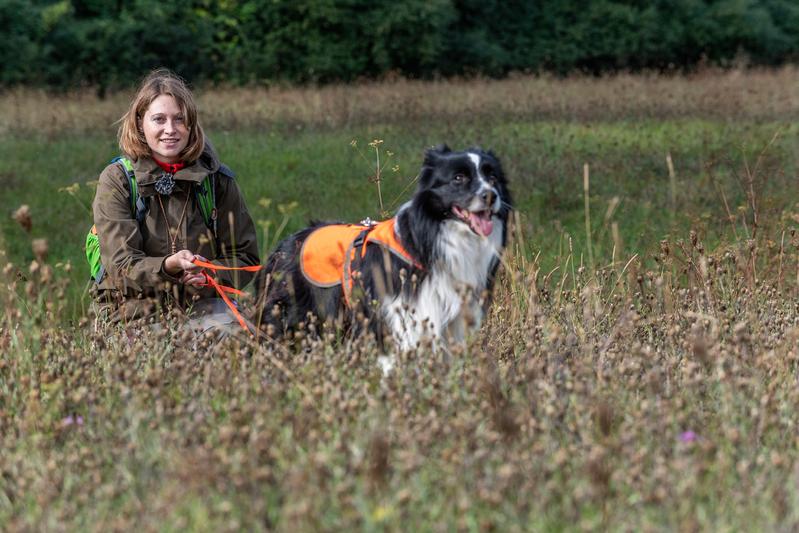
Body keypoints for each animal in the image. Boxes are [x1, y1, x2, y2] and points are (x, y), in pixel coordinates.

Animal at [253, 145, 512, 352]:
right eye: (459, 177)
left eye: (493, 178)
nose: (491, 196)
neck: (431, 239)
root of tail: (283, 245)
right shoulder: (400, 315)